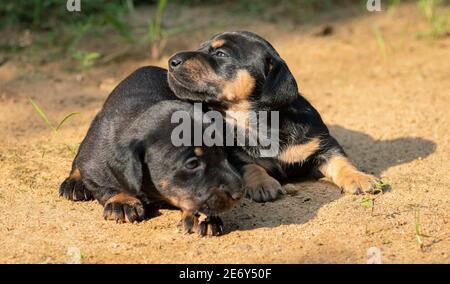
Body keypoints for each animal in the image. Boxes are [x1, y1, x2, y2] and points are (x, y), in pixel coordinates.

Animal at [59, 66, 244, 235]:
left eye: (224, 155)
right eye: (192, 164)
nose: (239, 193)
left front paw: (204, 218)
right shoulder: (94, 165)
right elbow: (106, 185)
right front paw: (124, 202)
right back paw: (74, 183)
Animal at [167, 31, 382, 202]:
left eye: (221, 54)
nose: (171, 61)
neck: (257, 123)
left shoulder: (323, 143)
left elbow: (341, 160)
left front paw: (359, 177)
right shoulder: (233, 155)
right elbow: (249, 165)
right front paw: (263, 183)